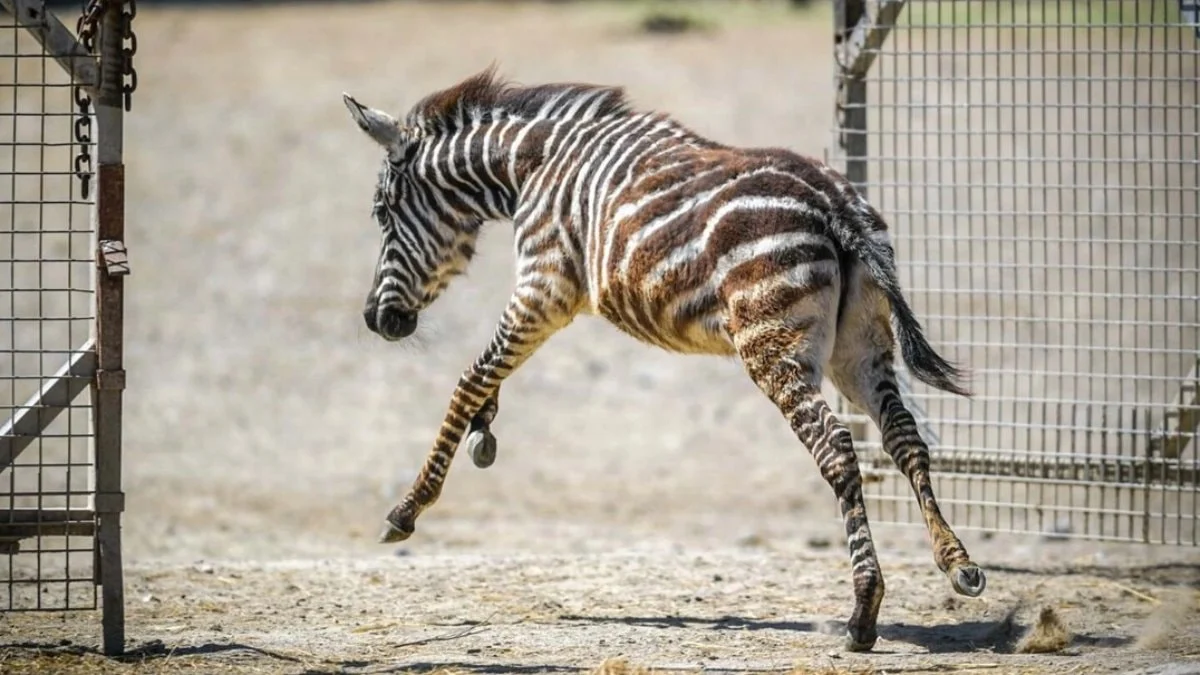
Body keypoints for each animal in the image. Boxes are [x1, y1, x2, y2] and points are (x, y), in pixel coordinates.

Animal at [341, 67, 986, 652]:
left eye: (382, 212)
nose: (377, 320)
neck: (530, 167)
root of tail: (837, 204)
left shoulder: (544, 286)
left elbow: (470, 377)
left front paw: (409, 507)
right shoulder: (541, 296)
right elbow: (489, 374)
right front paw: (485, 431)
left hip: (773, 344)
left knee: (837, 452)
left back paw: (862, 613)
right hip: (859, 347)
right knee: (906, 440)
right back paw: (956, 562)